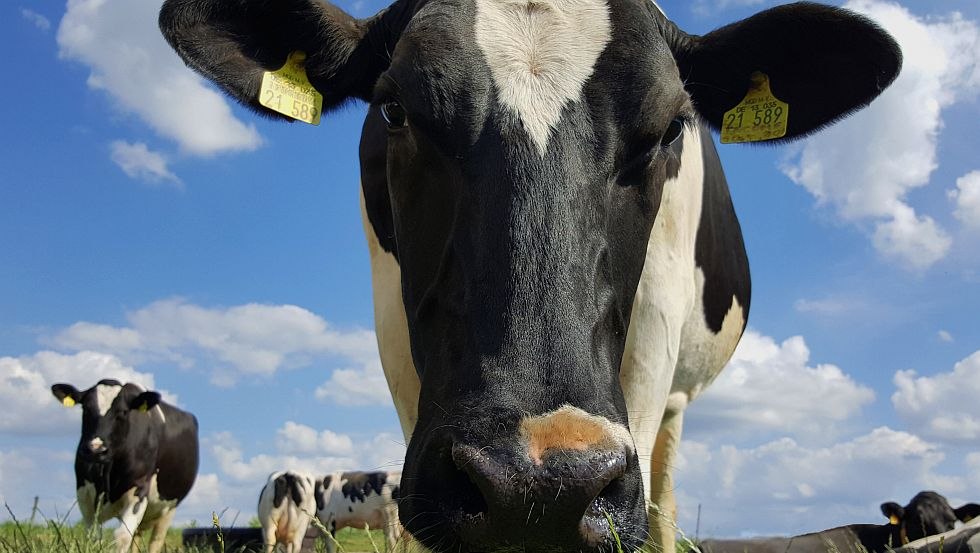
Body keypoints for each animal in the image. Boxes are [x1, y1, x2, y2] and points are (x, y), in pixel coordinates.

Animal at [50, 378, 200, 552]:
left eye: (122, 412)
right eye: (85, 408)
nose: (96, 450)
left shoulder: (139, 489)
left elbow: (122, 536)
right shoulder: (84, 493)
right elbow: (92, 536)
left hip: (169, 508)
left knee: (155, 541)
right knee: (136, 537)